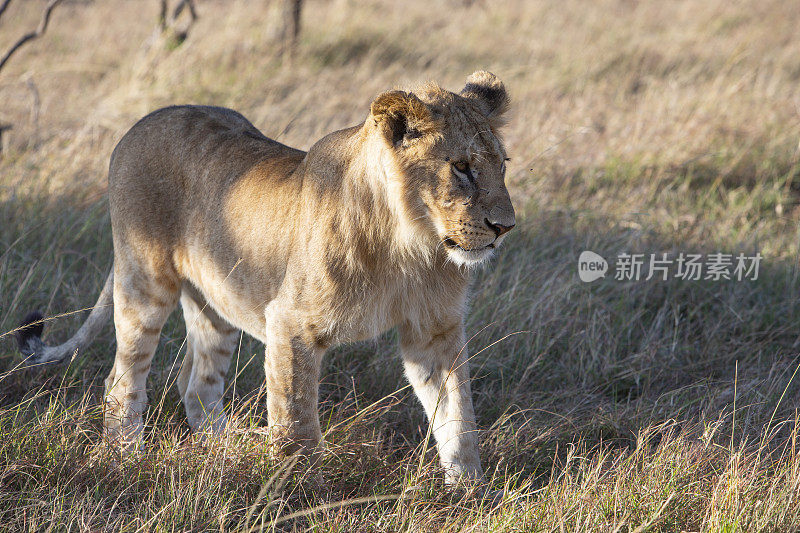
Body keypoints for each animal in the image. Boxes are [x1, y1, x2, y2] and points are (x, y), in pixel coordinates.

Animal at [17, 70, 512, 486]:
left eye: (503, 164)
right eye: (462, 167)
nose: (505, 227)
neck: (410, 245)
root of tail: (144, 121)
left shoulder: (434, 330)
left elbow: (458, 416)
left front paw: (469, 493)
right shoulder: (290, 323)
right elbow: (295, 425)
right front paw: (299, 495)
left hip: (218, 302)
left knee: (197, 385)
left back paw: (227, 449)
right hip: (144, 283)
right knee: (121, 380)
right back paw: (126, 457)